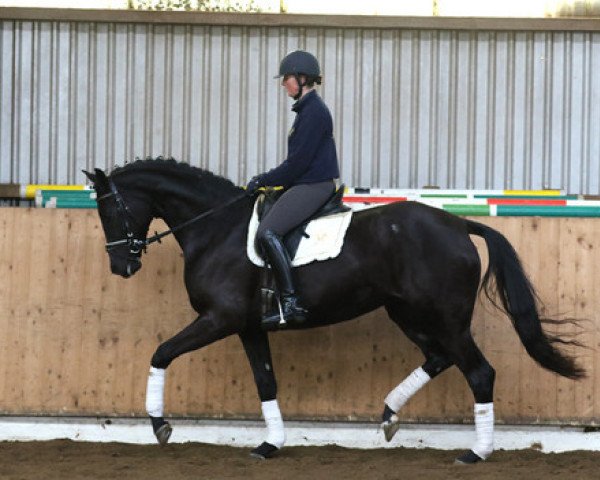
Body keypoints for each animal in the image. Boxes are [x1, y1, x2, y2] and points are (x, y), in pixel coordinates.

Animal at [83, 158, 580, 464]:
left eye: (110, 211)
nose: (121, 266)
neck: (216, 228)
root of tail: (458, 223)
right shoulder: (247, 327)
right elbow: (265, 381)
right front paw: (270, 444)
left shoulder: (218, 319)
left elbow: (161, 353)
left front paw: (159, 424)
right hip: (408, 313)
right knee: (439, 358)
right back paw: (389, 416)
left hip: (446, 319)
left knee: (479, 372)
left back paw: (475, 453)